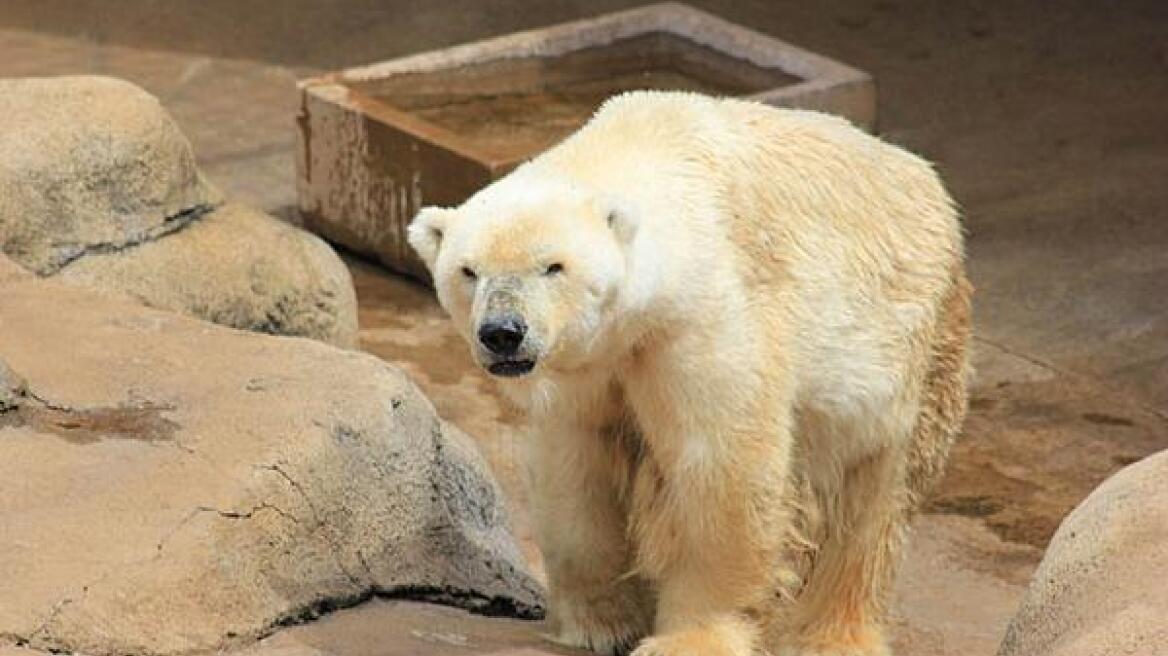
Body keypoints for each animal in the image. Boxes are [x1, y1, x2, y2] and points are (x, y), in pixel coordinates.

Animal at [406, 92, 971, 653]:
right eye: (468, 271)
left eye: (553, 266)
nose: (503, 332)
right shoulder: (590, 366)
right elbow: (576, 462)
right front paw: (599, 623)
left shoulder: (704, 320)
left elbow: (720, 466)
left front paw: (689, 637)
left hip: (915, 354)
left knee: (874, 504)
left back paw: (832, 637)